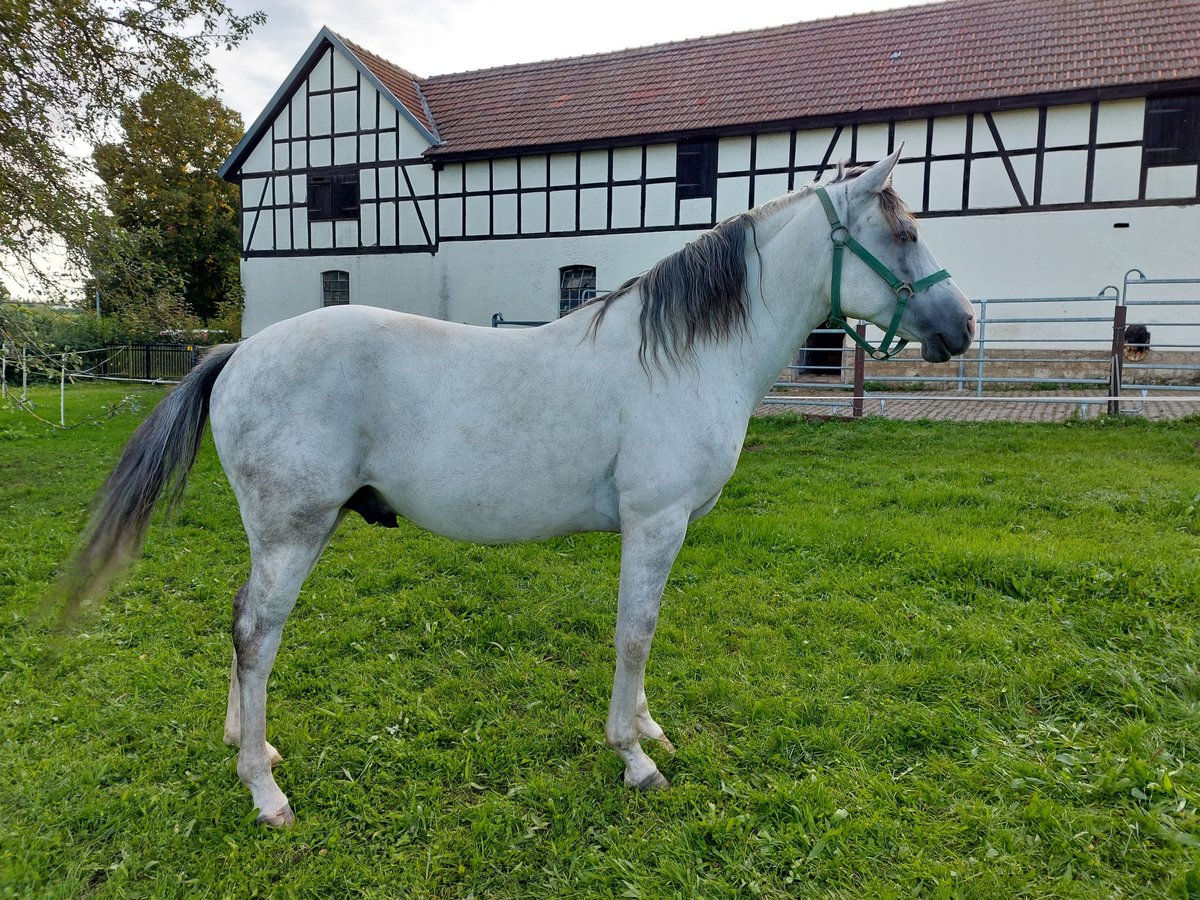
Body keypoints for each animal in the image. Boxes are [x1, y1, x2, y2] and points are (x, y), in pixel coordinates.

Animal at [58, 151, 974, 830]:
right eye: (903, 232)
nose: (963, 326)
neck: (681, 355)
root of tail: (238, 353)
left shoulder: (659, 531)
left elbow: (643, 636)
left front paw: (647, 727)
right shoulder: (656, 524)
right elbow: (635, 635)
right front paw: (633, 757)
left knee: (240, 620)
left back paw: (251, 747)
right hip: (295, 532)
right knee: (257, 634)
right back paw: (265, 790)